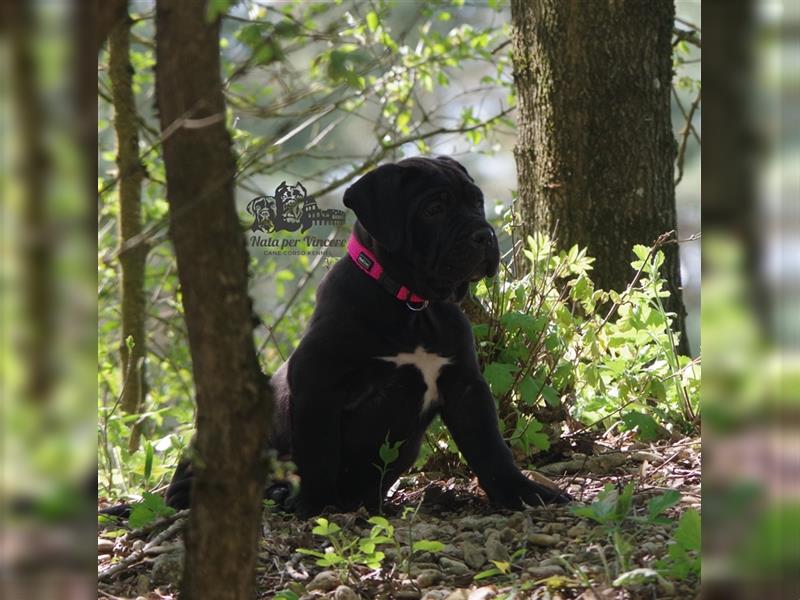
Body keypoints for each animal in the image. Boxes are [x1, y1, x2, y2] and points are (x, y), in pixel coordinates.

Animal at [166, 157, 572, 516]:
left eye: (476, 201)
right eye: (434, 209)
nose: (484, 235)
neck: (412, 305)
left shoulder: (465, 386)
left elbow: (490, 448)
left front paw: (524, 493)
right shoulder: (317, 383)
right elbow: (319, 450)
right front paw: (315, 505)